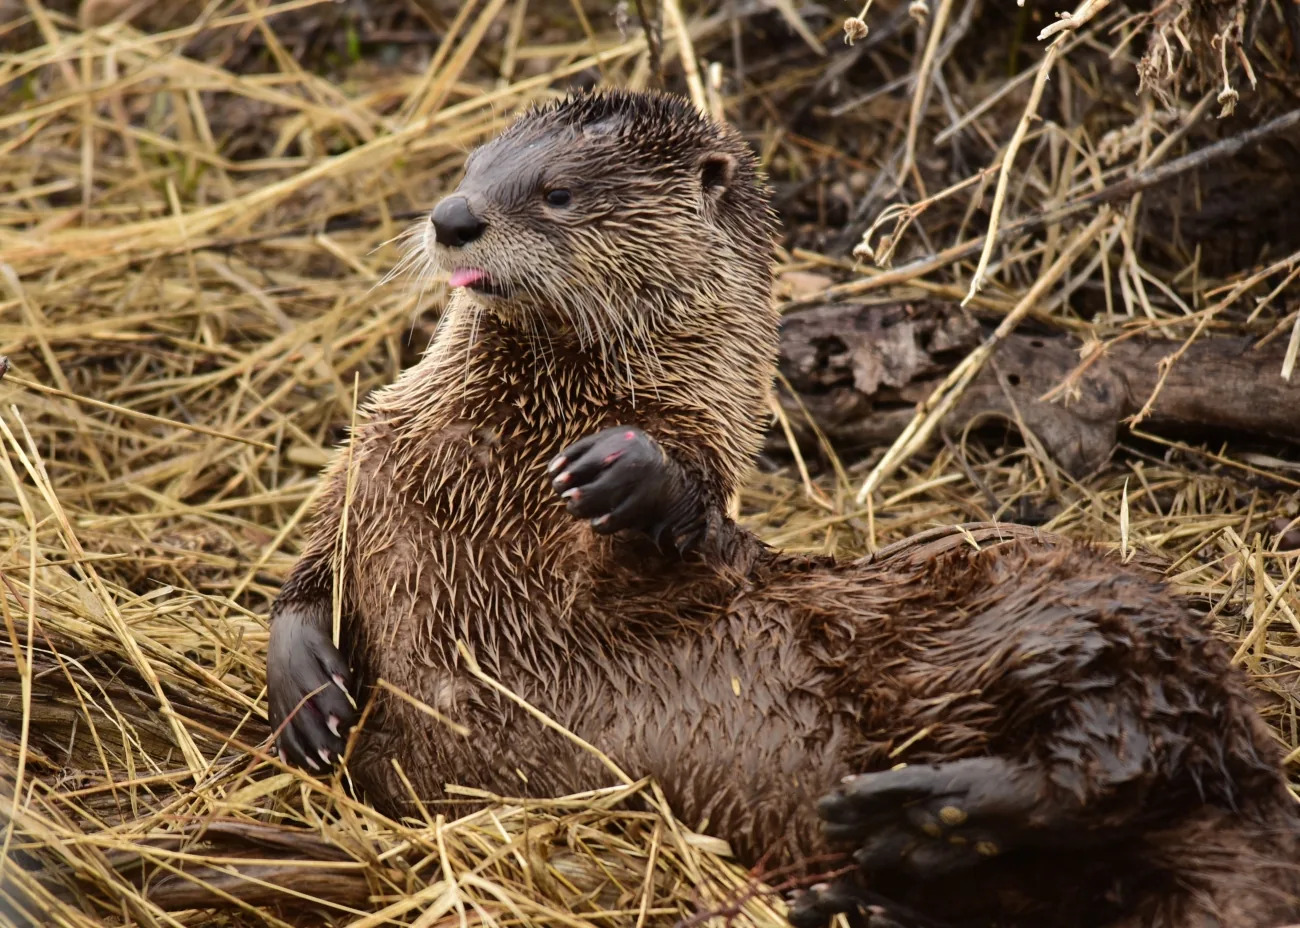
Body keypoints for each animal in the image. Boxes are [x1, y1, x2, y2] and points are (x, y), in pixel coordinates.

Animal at [266, 90, 1300, 928]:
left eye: (556, 191)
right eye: (473, 167)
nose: (453, 218)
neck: (484, 463)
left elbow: (699, 526)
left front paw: (635, 469)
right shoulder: (373, 458)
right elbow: (307, 572)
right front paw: (307, 692)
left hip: (1068, 611)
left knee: (1117, 749)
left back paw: (915, 808)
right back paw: (879, 873)